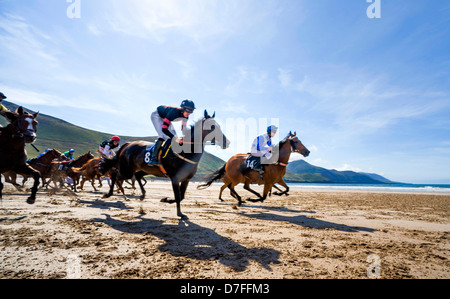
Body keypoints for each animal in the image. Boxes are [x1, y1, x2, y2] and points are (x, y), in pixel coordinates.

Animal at [100, 110, 230, 220]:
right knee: (115, 175)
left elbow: (181, 196)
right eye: (212, 127)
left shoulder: (186, 179)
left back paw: (142, 195)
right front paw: (180, 213)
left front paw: (166, 200)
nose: (227, 142)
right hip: (127, 169)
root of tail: (127, 144)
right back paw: (108, 194)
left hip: (146, 169)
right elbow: (178, 196)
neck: (185, 151)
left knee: (136, 175)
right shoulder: (175, 178)